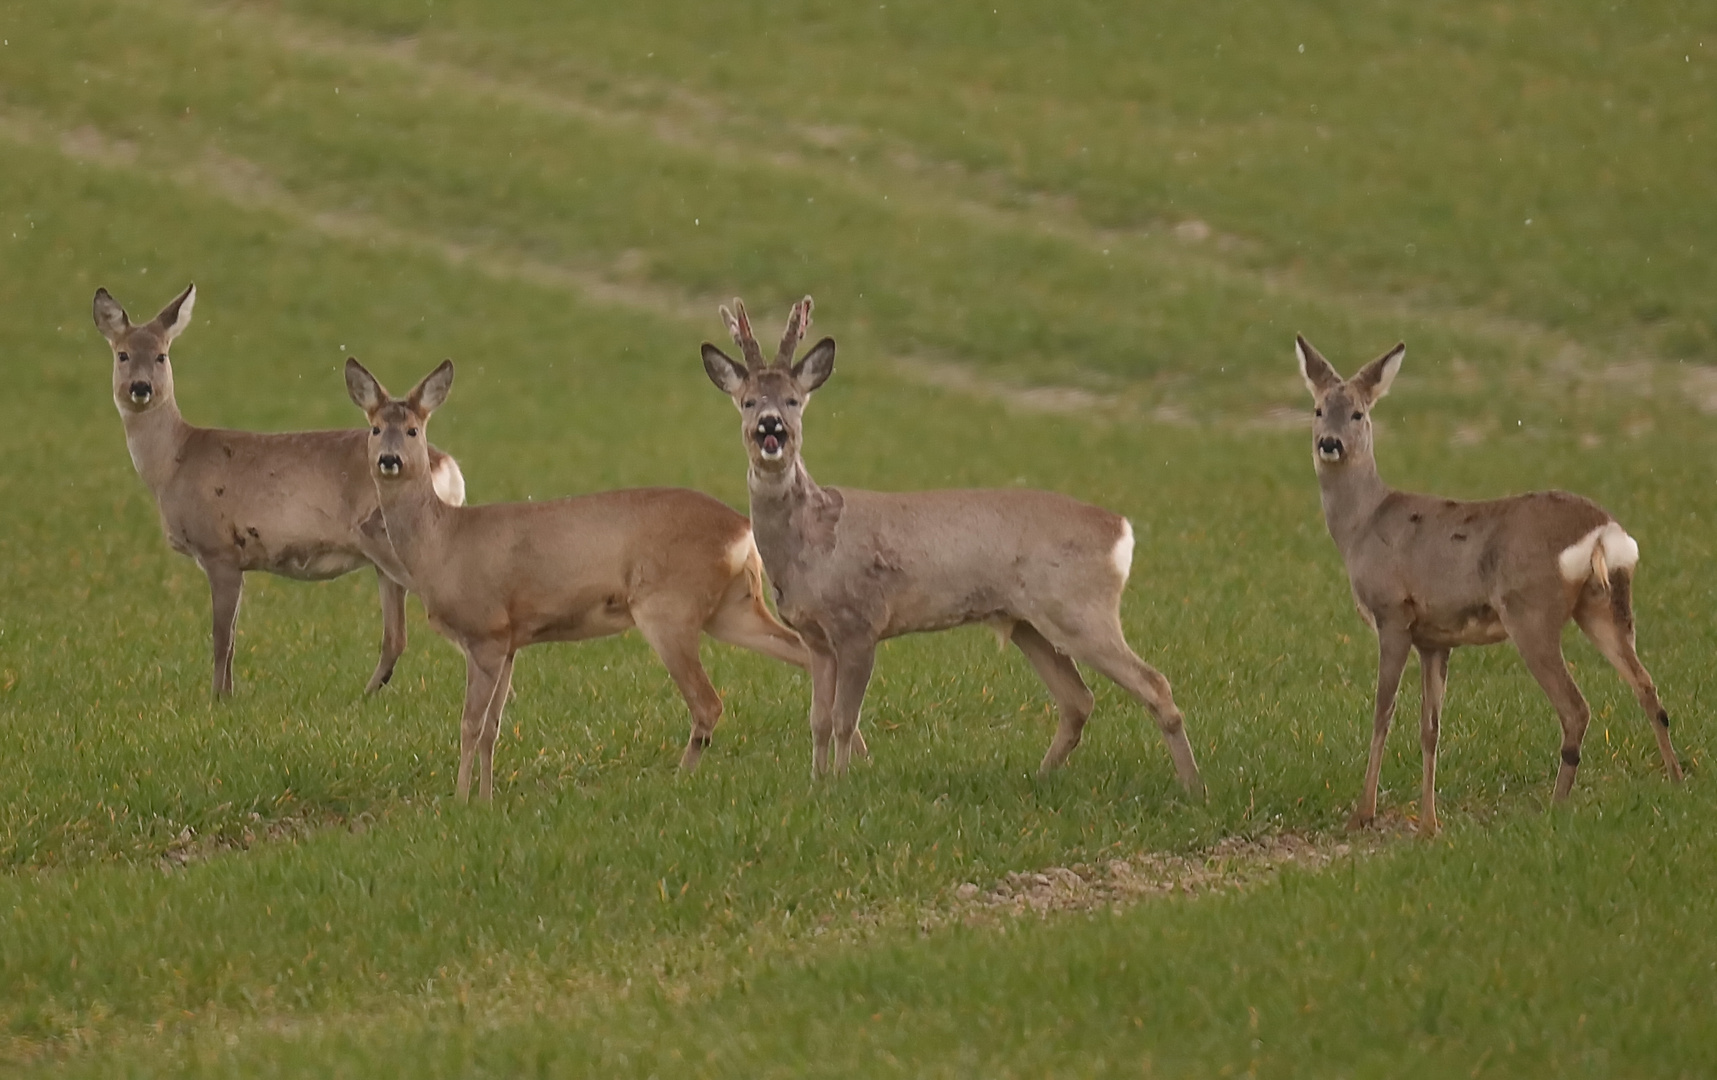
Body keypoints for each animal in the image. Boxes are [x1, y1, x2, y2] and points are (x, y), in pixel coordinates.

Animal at [94, 285, 467, 700]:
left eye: (162, 354)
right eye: (123, 354)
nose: (140, 388)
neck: (176, 460)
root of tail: (445, 466)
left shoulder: (219, 549)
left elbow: (221, 638)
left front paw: (217, 699)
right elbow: (233, 638)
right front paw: (228, 697)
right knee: (395, 637)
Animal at [345, 355, 813, 800]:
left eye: (412, 430)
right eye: (374, 428)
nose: (389, 460)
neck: (442, 543)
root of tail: (742, 529)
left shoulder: (486, 632)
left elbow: (470, 725)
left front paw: (460, 802)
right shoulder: (510, 642)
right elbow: (493, 729)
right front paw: (485, 801)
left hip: (669, 609)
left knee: (709, 703)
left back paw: (681, 779)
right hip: (732, 608)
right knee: (805, 652)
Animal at [700, 298, 1208, 786]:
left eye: (793, 400)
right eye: (747, 401)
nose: (771, 426)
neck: (810, 543)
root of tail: (1120, 529)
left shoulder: (860, 622)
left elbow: (845, 719)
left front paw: (840, 785)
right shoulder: (815, 635)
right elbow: (818, 720)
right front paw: (816, 784)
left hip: (1079, 606)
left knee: (1154, 684)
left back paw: (1193, 790)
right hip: (1029, 622)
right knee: (1078, 700)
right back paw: (1042, 778)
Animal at [1298, 334, 1675, 834]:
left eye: (1358, 412)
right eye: (1319, 408)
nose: (1330, 443)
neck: (1362, 526)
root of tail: (1602, 530)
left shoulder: (1393, 613)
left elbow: (1382, 713)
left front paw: (1363, 814)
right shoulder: (1435, 638)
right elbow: (1430, 728)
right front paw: (1429, 824)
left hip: (1530, 612)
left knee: (1577, 708)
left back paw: (1556, 807)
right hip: (1601, 606)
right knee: (1646, 687)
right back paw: (1677, 780)